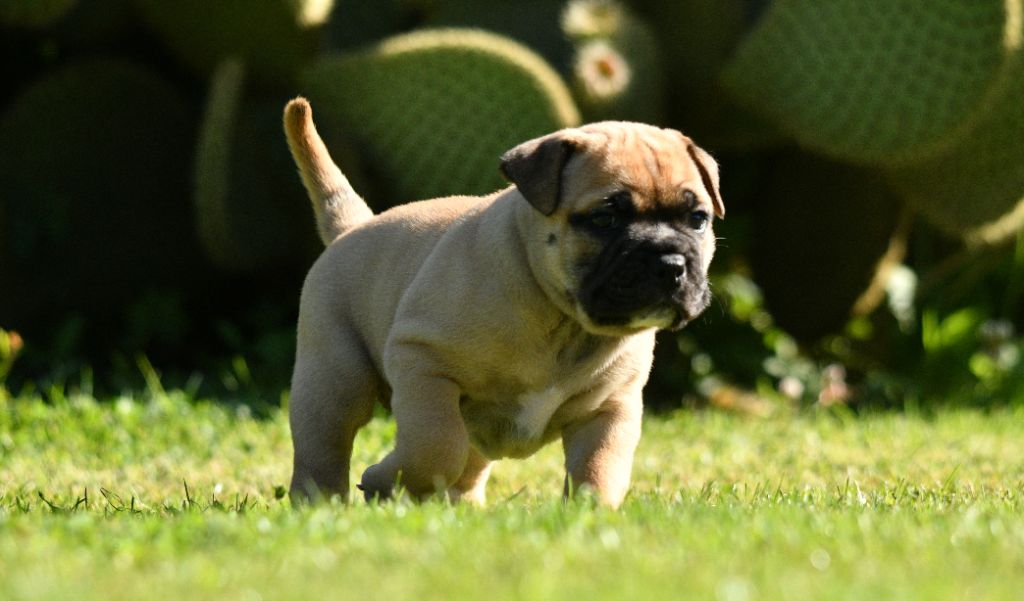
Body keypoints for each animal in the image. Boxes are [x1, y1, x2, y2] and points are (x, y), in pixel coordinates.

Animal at [284, 99, 724, 507]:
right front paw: (384, 479)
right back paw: (318, 503)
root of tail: (354, 226)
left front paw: (591, 513)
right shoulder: (423, 363)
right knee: (325, 448)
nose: (670, 262)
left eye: (698, 219)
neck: (564, 322)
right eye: (605, 218)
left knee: (468, 464)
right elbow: (436, 445)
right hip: (335, 380)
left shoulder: (609, 409)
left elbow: (600, 469)